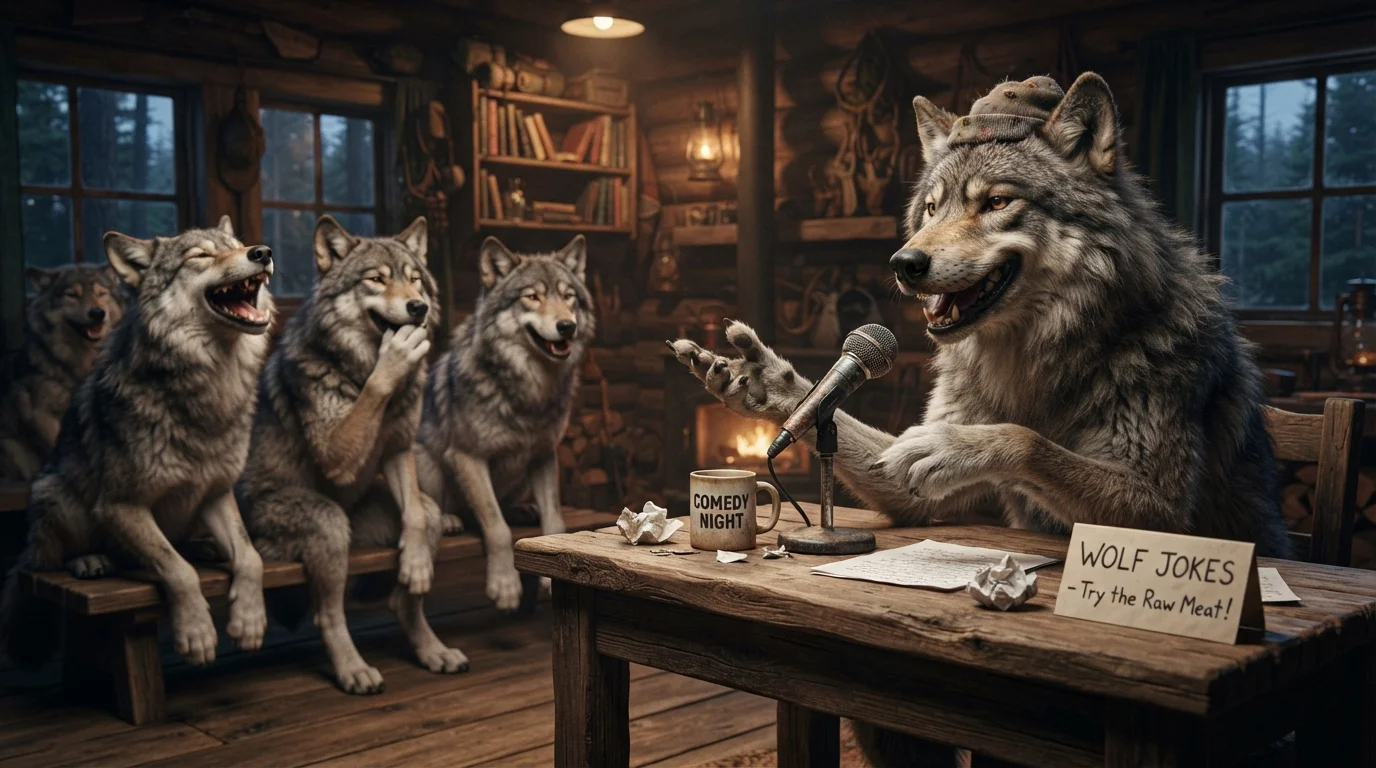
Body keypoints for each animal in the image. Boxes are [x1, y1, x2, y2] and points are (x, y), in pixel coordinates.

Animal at [239, 215, 469, 695]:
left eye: (414, 278)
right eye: (376, 279)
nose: (418, 307)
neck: (361, 367)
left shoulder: (398, 448)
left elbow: (416, 516)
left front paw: (416, 562)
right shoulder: (335, 453)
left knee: (420, 540)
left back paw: (432, 649)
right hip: (322, 523)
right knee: (327, 614)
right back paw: (353, 670)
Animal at [416, 235, 594, 611]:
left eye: (568, 296)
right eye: (532, 297)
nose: (567, 326)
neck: (530, 392)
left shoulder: (544, 456)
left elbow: (554, 519)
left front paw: (549, 575)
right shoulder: (467, 458)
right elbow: (496, 526)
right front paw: (505, 585)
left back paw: (523, 510)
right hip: (425, 458)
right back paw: (451, 520)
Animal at [671, 73, 1286, 766]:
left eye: (995, 202)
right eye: (932, 209)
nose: (904, 263)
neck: (1041, 359)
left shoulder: (1163, 512)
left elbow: (1023, 437)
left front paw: (951, 447)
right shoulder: (912, 490)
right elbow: (852, 430)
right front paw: (762, 382)